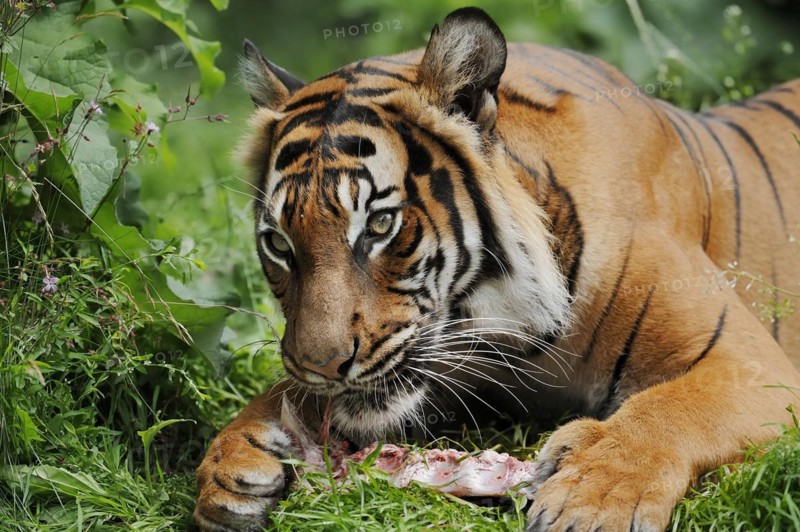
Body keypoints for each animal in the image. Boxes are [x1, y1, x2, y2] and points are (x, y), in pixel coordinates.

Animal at [194, 7, 800, 531]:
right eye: (278, 243)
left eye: (380, 225)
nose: (320, 369)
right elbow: (276, 391)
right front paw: (232, 462)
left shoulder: (745, 361)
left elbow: (664, 411)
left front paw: (590, 500)